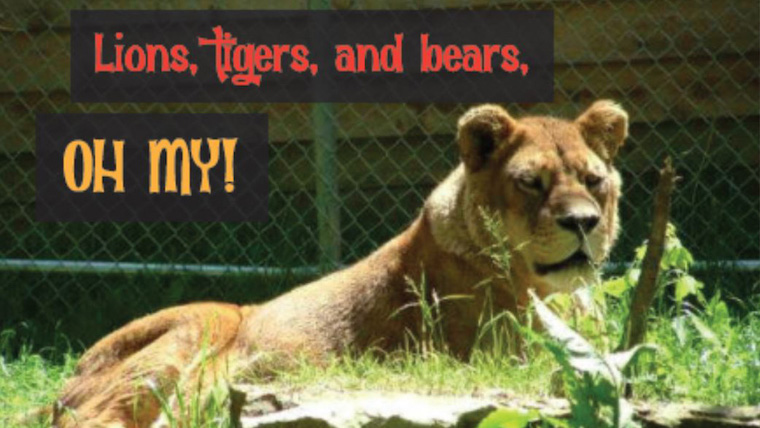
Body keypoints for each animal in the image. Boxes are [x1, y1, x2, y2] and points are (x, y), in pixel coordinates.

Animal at [48, 100, 628, 427]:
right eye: (531, 182)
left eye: (593, 180)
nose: (583, 221)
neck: (560, 294)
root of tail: (68, 382)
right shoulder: (487, 359)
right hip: (200, 323)